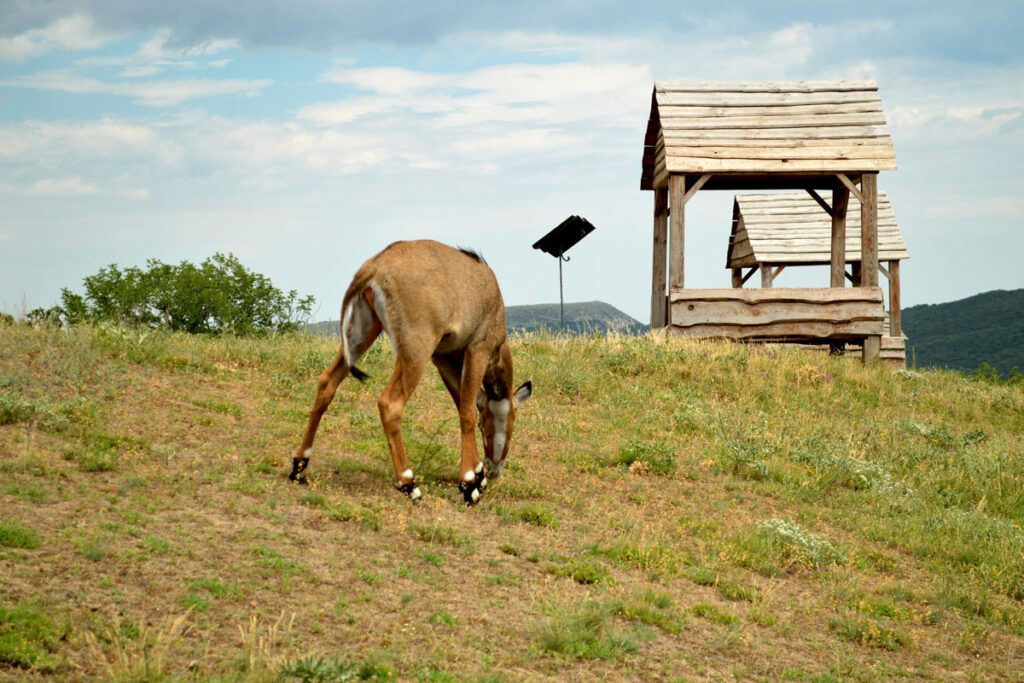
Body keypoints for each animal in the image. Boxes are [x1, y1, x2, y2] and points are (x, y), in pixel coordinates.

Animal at [290, 240, 532, 505]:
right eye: (512, 420)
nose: (494, 469)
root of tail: (373, 269)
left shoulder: (441, 356)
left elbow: (461, 403)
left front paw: (478, 475)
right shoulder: (477, 348)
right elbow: (467, 410)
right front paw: (470, 483)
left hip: (364, 334)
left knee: (327, 382)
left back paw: (299, 465)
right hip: (416, 349)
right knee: (390, 403)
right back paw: (409, 483)